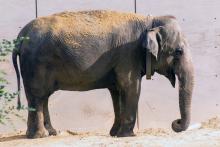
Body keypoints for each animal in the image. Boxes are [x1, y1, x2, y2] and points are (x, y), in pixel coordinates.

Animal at [12, 10, 194, 138]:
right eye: (178, 51)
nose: (176, 122)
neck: (150, 21)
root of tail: (20, 36)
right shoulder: (128, 55)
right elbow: (131, 87)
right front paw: (127, 135)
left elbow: (117, 92)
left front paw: (114, 134)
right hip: (36, 64)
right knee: (38, 96)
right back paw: (40, 136)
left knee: (43, 97)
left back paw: (48, 133)